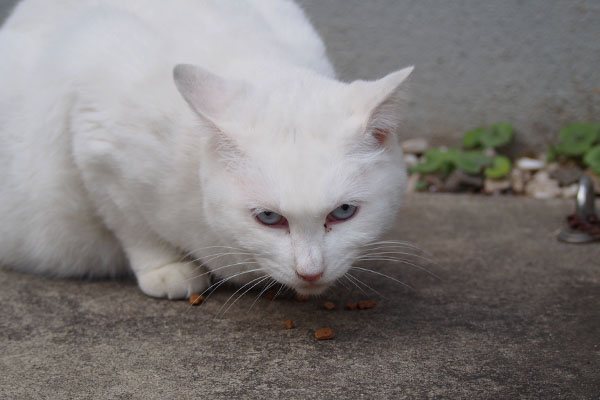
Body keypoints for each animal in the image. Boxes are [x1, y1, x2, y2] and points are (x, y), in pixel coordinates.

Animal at [0, 0, 412, 298]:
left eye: (343, 212)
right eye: (268, 218)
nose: (310, 272)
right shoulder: (96, 137)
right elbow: (132, 225)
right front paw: (166, 271)